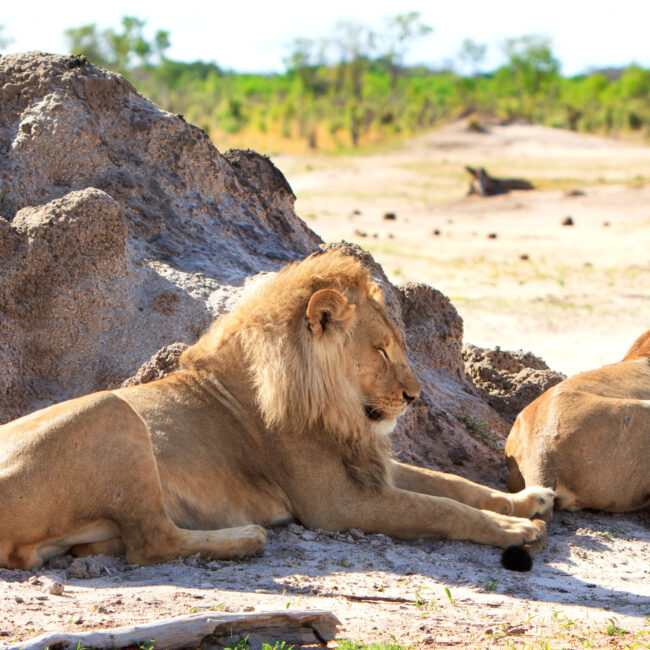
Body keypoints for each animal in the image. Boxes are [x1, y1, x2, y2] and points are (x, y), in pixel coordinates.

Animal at [0, 249, 548, 568]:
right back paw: (246, 537)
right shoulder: (337, 505)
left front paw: (530, 499)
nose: (415, 397)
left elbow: (454, 484)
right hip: (112, 412)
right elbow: (439, 508)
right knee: (151, 543)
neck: (338, 411)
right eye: (381, 350)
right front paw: (515, 530)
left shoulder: (368, 467)